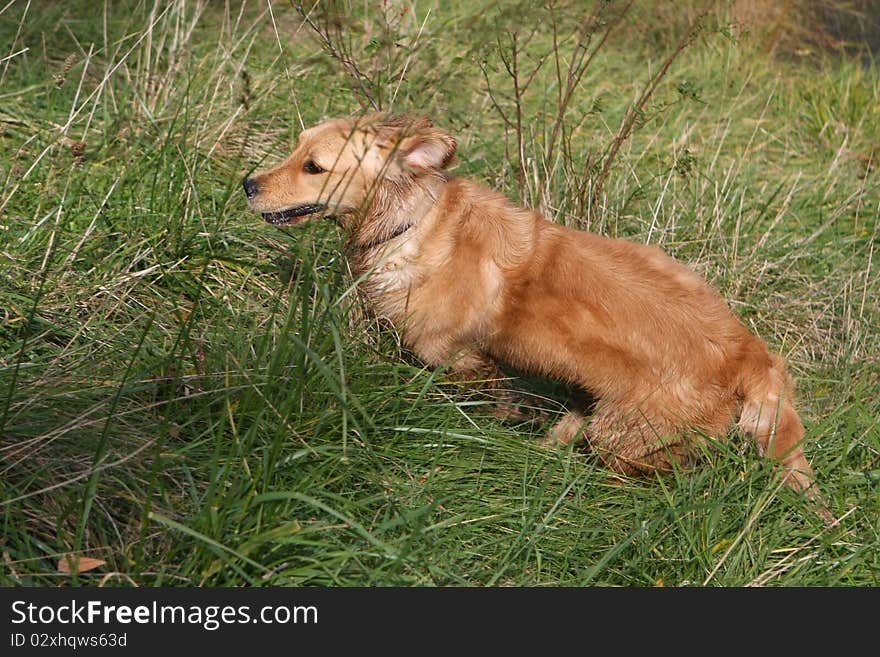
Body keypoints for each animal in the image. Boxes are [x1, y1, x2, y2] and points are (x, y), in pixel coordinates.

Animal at [242, 114, 824, 508]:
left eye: (314, 167)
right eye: (295, 146)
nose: (247, 183)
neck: (413, 220)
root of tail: (750, 353)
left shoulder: (454, 357)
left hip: (627, 432)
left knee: (661, 471)